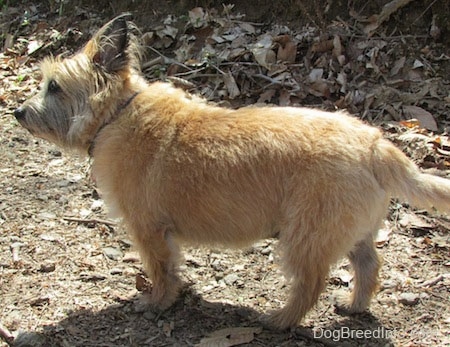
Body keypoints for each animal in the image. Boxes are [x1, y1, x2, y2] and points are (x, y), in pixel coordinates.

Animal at [14, 14, 450, 330]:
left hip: (305, 238)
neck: (118, 114)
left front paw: (156, 303)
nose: (17, 111)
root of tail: (375, 143)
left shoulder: (148, 230)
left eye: (54, 86)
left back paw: (279, 320)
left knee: (311, 284)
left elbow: (160, 269)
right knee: (368, 267)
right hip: (350, 231)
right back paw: (354, 306)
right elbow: (172, 267)